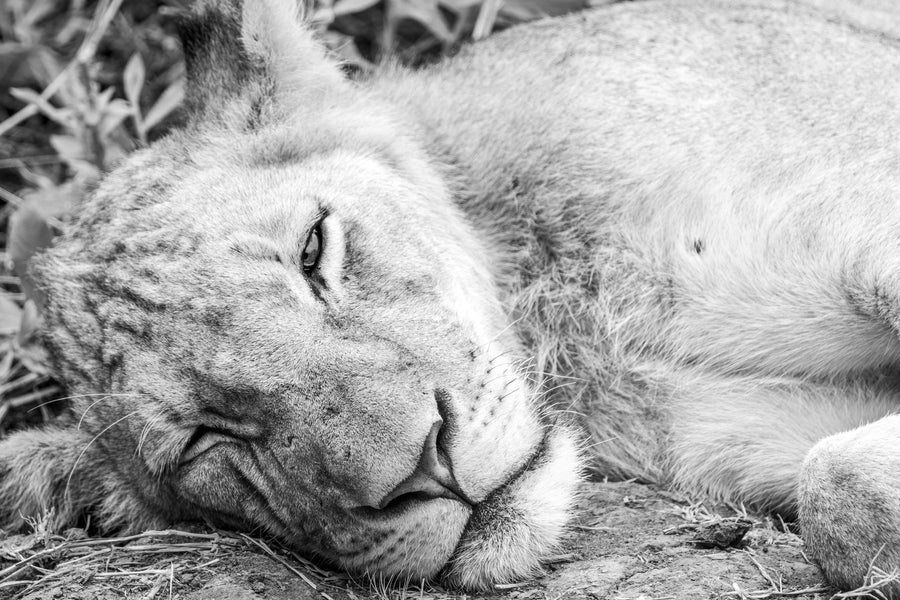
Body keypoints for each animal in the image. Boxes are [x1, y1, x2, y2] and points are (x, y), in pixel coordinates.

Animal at [2, 0, 900, 593]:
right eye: (202, 442)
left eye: (313, 249)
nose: (424, 466)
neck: (563, 319)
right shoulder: (736, 433)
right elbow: (833, 491)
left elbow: (835, 490)